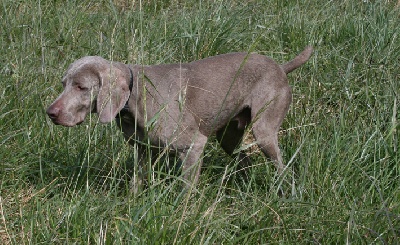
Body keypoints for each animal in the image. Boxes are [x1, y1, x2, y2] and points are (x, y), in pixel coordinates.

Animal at [47, 46, 312, 188]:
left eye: (81, 87)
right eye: (63, 84)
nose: (50, 113)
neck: (135, 94)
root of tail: (280, 67)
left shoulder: (193, 146)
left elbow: (186, 190)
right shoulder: (144, 150)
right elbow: (137, 182)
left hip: (264, 130)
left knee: (282, 167)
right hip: (228, 136)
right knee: (243, 158)